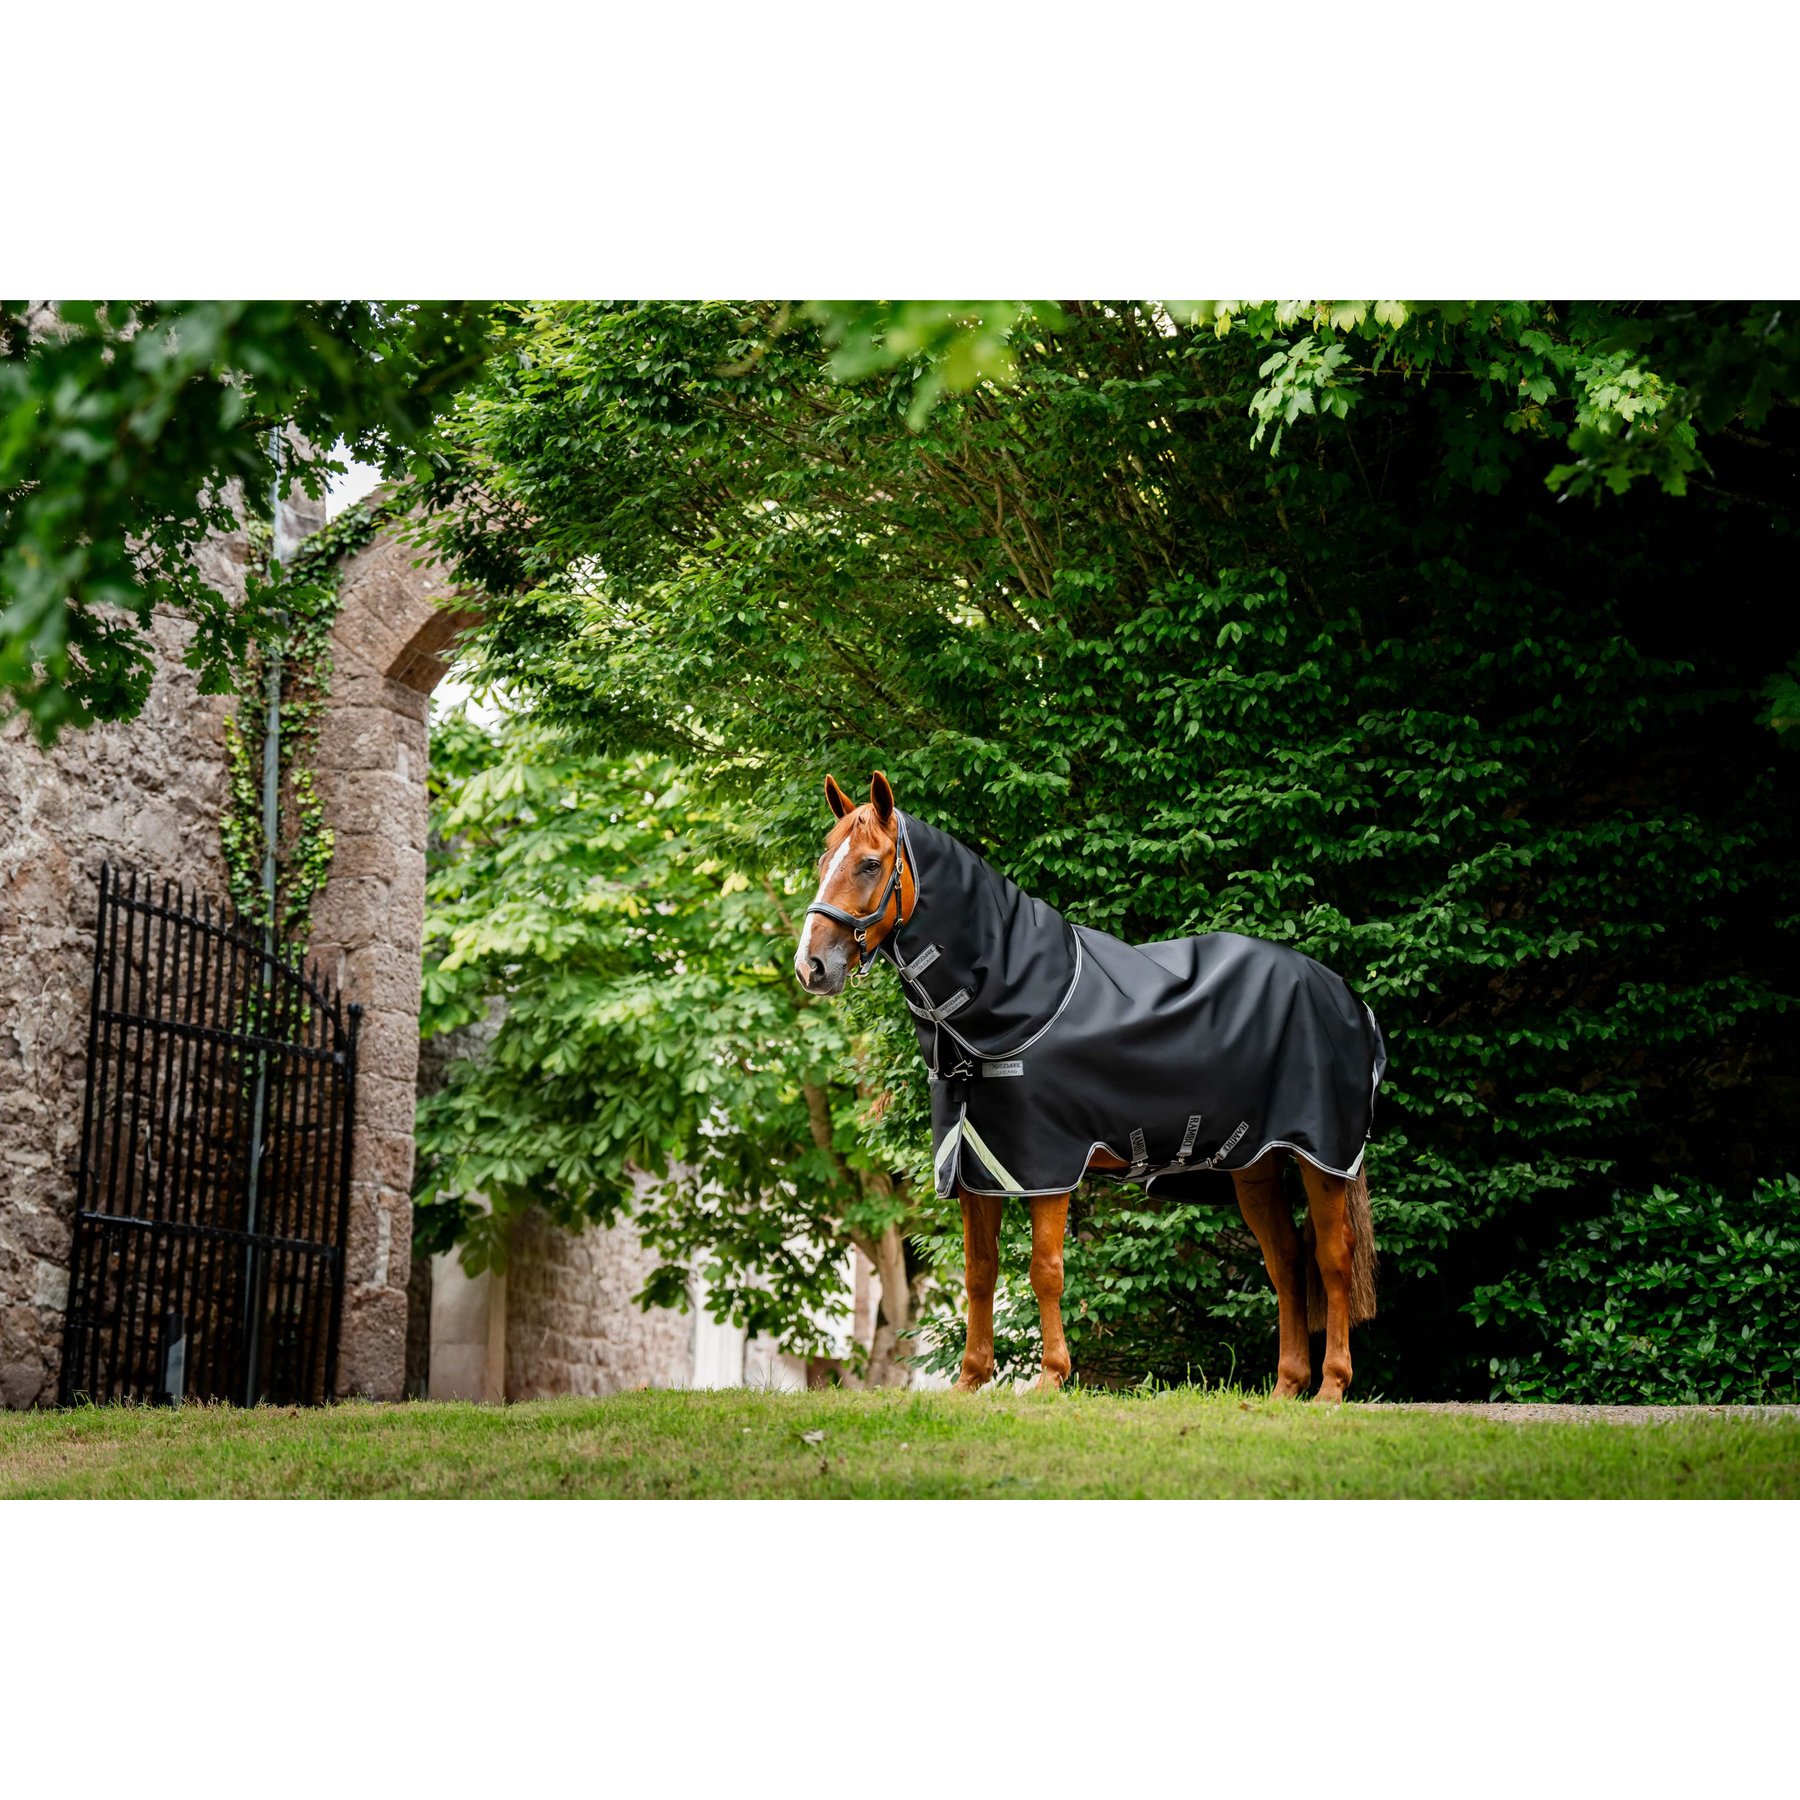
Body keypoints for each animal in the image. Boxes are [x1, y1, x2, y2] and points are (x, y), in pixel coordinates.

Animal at [795, 771, 1385, 1402]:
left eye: (869, 864)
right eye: (824, 859)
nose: (812, 967)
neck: (1013, 994)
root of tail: (1347, 998)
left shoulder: (1047, 1165)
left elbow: (1045, 1270)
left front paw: (1051, 1378)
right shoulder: (978, 1168)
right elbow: (980, 1273)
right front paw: (971, 1381)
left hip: (1323, 1158)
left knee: (1332, 1258)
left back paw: (1331, 1387)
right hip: (1255, 1163)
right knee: (1286, 1261)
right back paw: (1285, 1389)